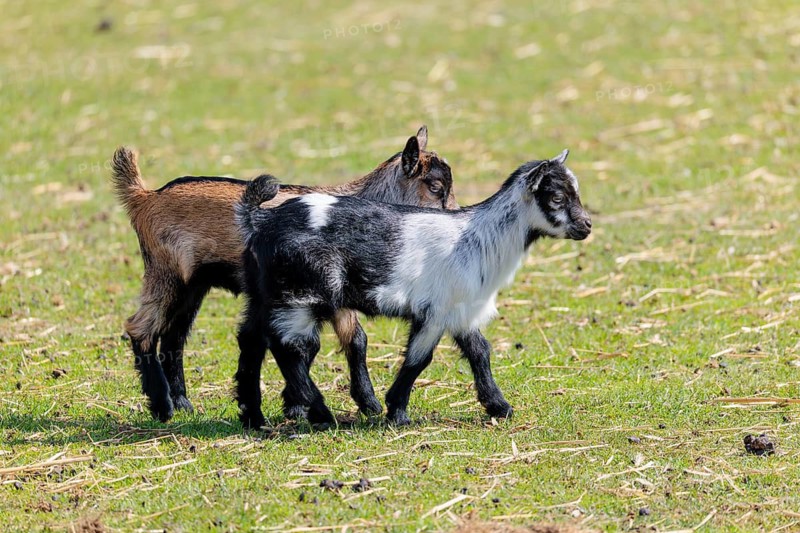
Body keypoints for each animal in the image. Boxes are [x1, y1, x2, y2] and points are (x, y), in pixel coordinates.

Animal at [111, 126, 456, 422]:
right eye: (434, 186)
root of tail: (145, 197)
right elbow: (323, 341)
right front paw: (308, 404)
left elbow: (353, 339)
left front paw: (360, 402)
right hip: (165, 274)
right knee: (141, 328)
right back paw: (163, 405)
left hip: (194, 284)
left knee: (174, 335)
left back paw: (182, 402)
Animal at [235, 149, 592, 427]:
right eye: (556, 197)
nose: (586, 225)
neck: (479, 238)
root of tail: (262, 221)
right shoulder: (436, 311)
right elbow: (419, 359)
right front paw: (398, 411)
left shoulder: (459, 308)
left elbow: (479, 351)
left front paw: (499, 407)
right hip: (302, 294)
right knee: (289, 348)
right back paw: (321, 412)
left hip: (269, 293)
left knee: (255, 339)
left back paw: (254, 412)